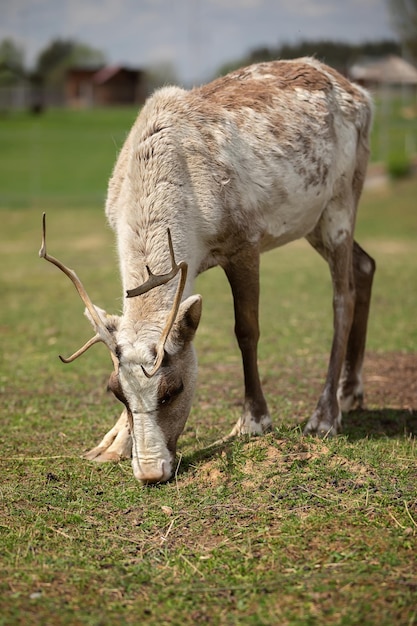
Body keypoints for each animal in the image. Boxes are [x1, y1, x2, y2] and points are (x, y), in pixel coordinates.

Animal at [40, 57, 376, 482]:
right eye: (116, 392)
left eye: (174, 389)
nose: (151, 472)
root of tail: (360, 93)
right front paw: (111, 444)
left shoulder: (245, 242)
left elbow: (246, 330)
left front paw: (253, 421)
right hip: (311, 221)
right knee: (365, 265)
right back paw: (351, 392)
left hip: (341, 201)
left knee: (342, 294)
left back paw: (325, 415)